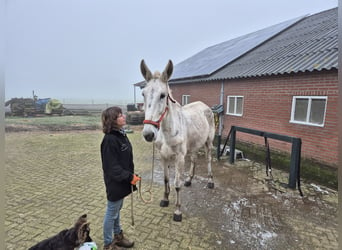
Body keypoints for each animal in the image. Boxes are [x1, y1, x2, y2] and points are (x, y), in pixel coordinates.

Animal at [140, 59, 215, 221]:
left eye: (163, 95)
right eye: (143, 94)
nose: (148, 134)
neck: (168, 132)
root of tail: (205, 106)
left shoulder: (179, 158)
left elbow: (177, 184)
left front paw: (178, 211)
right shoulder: (163, 156)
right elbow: (166, 180)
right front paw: (165, 199)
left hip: (208, 142)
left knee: (208, 159)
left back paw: (210, 181)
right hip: (194, 145)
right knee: (194, 159)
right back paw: (189, 180)